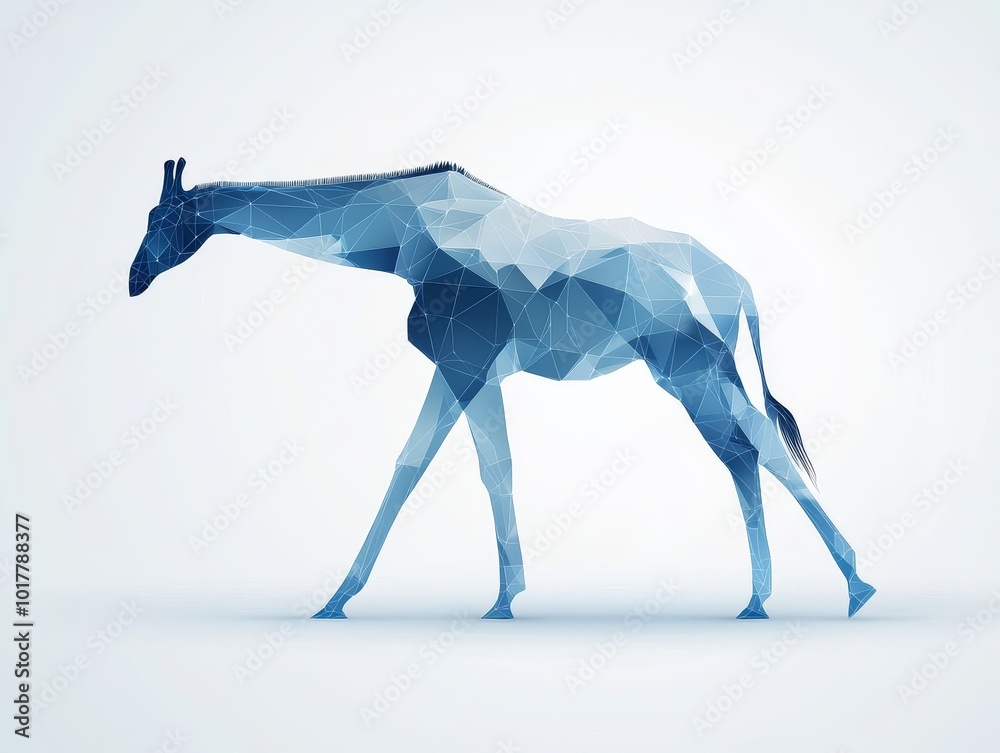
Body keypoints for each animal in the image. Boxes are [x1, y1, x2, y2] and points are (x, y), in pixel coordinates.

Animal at [130, 157, 877, 620]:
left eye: (161, 221)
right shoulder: (464, 367)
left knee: (760, 449)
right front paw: (340, 597)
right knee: (744, 453)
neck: (399, 240)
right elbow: (420, 466)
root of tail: (739, 282)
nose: (133, 281)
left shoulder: (466, 361)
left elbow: (481, 469)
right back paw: (760, 598)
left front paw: (499, 597)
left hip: (689, 366)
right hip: (703, 370)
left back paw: (854, 583)